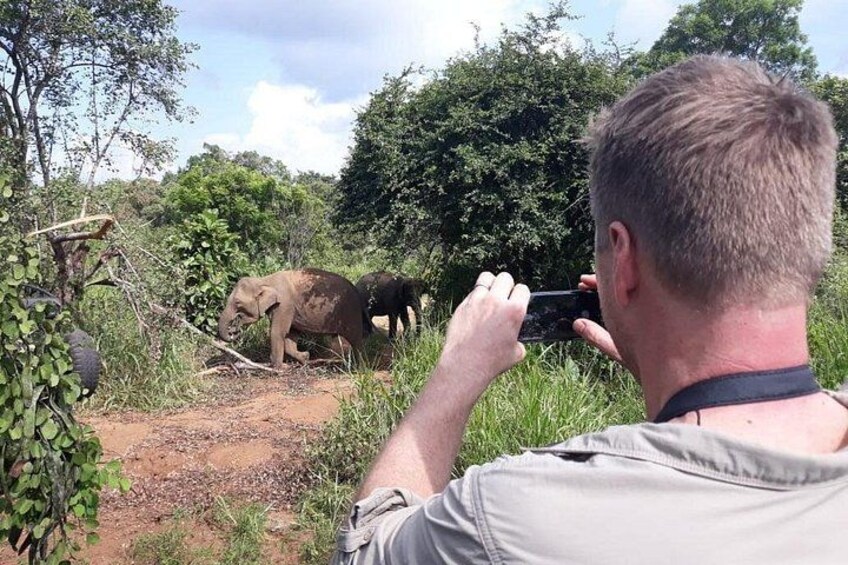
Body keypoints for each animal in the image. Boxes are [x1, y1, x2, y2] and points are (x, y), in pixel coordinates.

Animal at [218, 269, 372, 368]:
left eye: (237, 302)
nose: (233, 331)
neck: (264, 280)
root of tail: (355, 289)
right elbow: (291, 334)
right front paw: (305, 358)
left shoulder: (285, 305)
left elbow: (277, 332)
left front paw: (278, 368)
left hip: (350, 311)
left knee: (355, 338)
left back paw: (361, 366)